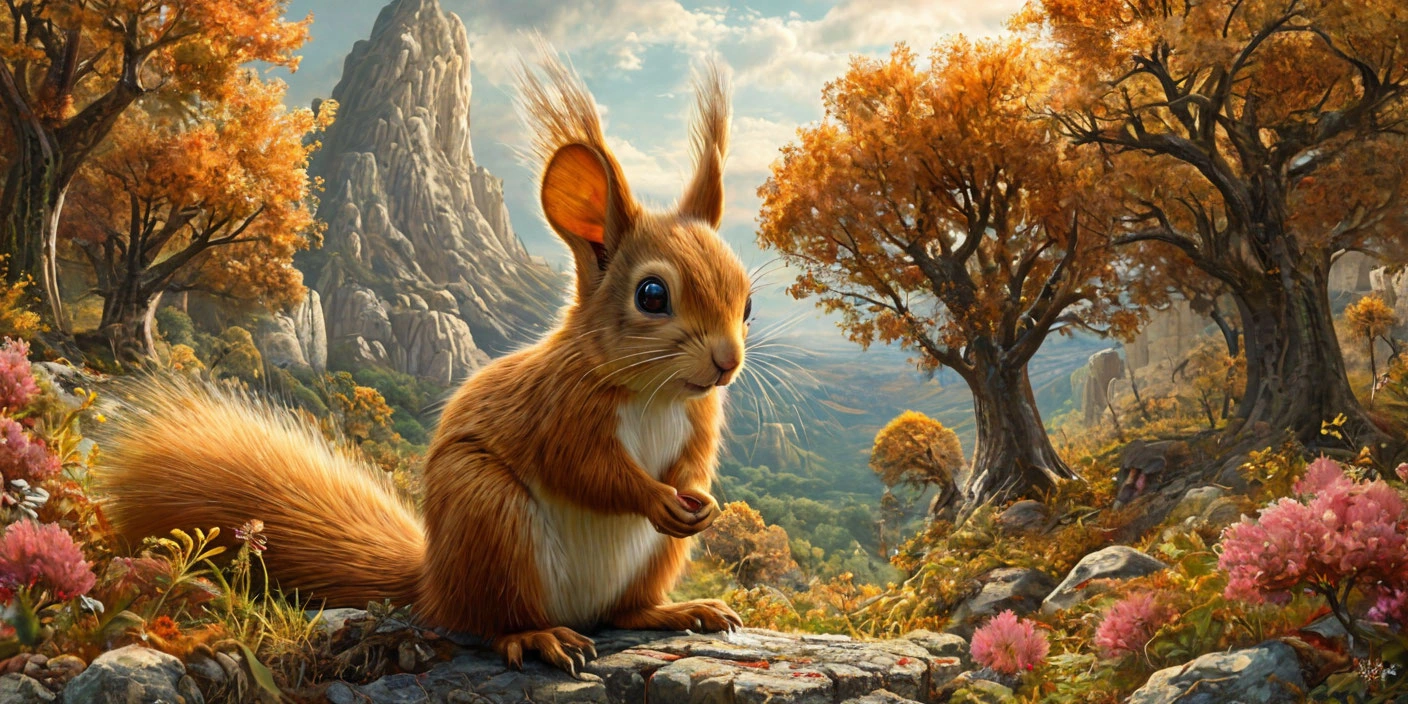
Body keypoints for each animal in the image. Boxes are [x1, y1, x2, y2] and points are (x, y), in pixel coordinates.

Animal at [94, 49, 752, 674]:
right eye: (652, 295)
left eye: (747, 300)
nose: (727, 363)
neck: (655, 392)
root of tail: (435, 584)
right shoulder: (559, 409)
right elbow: (588, 470)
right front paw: (655, 497)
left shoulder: (700, 420)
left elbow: (691, 466)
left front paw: (700, 500)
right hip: (489, 515)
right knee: (494, 620)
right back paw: (538, 637)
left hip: (647, 560)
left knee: (624, 611)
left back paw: (677, 611)